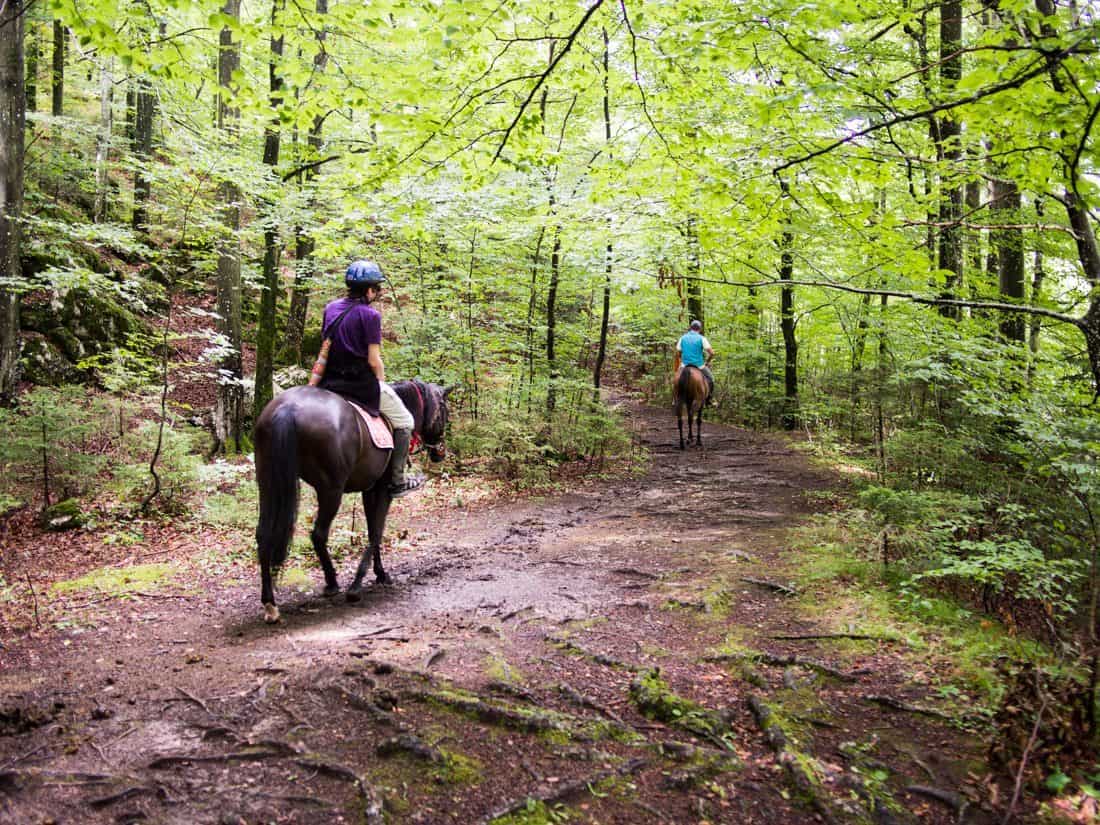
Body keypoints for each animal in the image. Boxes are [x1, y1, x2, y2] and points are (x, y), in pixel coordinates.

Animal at [253, 378, 451, 624]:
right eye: (445, 411)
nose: (440, 453)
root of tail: (287, 409)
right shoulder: (383, 489)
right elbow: (376, 532)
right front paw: (359, 584)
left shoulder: (369, 490)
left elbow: (371, 529)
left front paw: (379, 573)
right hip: (331, 491)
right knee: (318, 534)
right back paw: (332, 583)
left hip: (268, 484)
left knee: (264, 535)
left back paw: (270, 604)